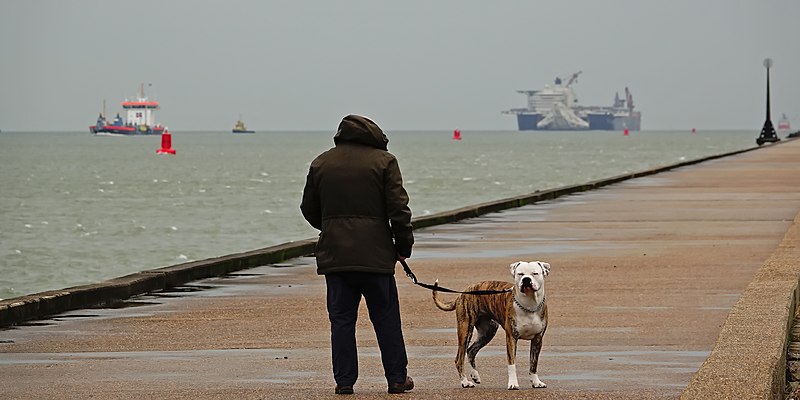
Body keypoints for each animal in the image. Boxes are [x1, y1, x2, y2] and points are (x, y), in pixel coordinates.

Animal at [434, 260, 548, 390]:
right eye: (520, 274)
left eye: (535, 273)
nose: (526, 279)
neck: (529, 305)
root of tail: (462, 294)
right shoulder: (511, 338)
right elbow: (512, 363)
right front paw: (513, 383)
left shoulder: (538, 339)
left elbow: (533, 363)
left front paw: (536, 382)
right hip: (465, 330)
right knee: (459, 358)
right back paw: (465, 382)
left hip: (488, 331)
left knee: (471, 350)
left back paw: (475, 375)